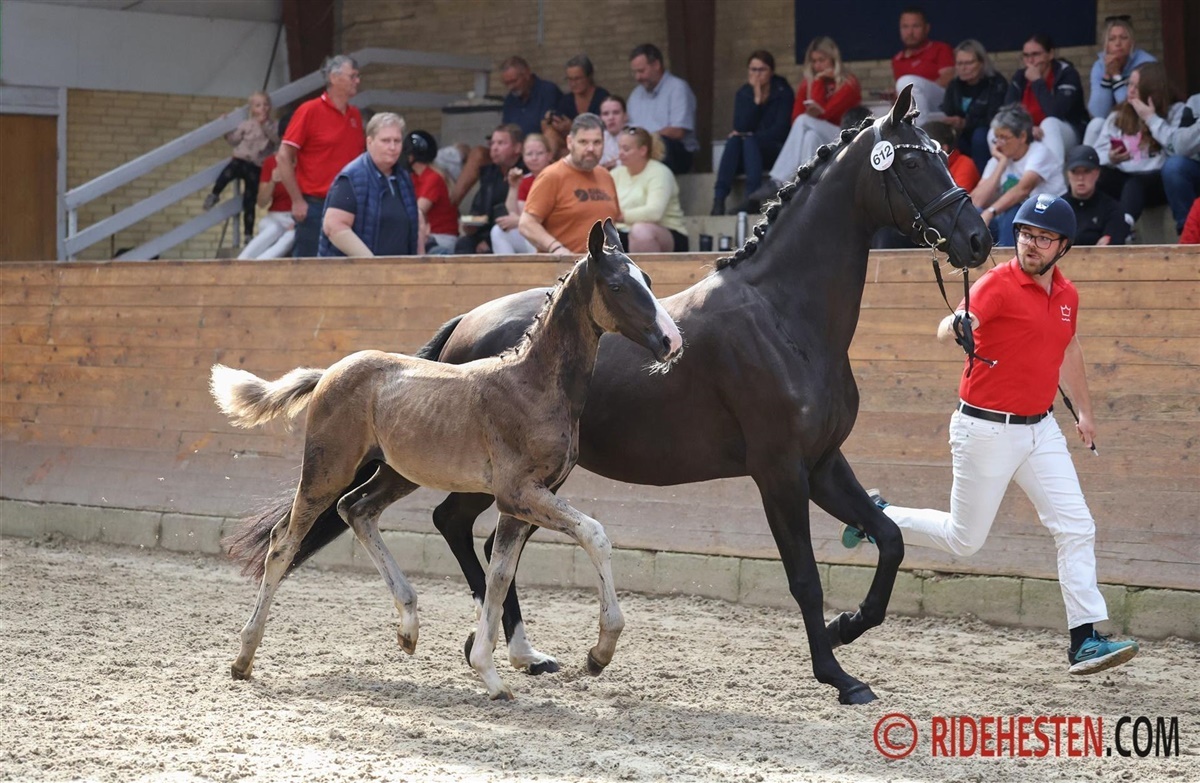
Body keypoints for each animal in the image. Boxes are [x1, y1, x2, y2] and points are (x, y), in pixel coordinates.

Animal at [214, 219, 683, 699]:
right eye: (617, 286)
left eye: (648, 280)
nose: (672, 340)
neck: (532, 385)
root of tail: (329, 372)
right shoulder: (520, 493)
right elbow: (594, 534)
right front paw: (599, 652)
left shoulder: (519, 503)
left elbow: (499, 575)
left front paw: (491, 673)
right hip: (327, 470)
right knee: (283, 543)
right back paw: (243, 657)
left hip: (398, 472)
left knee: (357, 510)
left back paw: (408, 627)